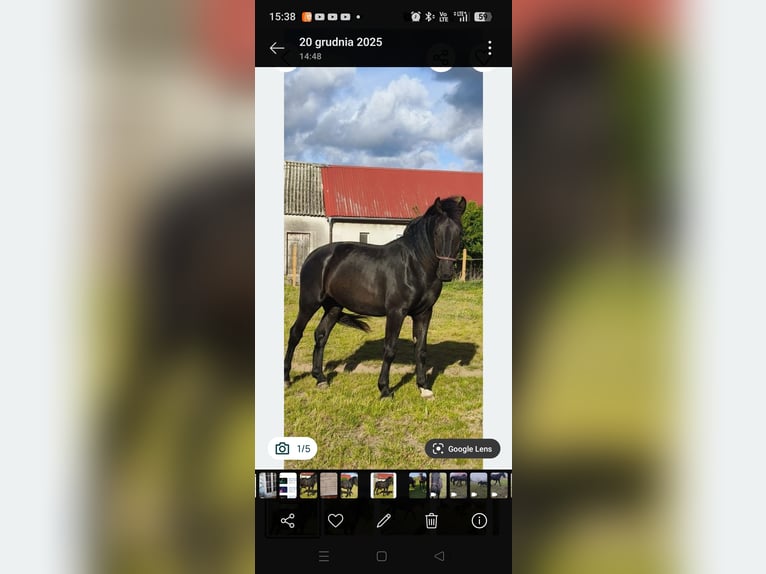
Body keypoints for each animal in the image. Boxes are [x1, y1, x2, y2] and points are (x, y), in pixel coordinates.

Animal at [284, 196, 467, 399]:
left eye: (460, 232)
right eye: (436, 232)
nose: (446, 273)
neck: (415, 266)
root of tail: (313, 256)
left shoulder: (424, 313)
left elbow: (421, 349)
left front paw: (424, 388)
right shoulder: (396, 312)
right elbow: (390, 349)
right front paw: (385, 389)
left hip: (334, 307)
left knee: (321, 336)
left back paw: (320, 379)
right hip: (309, 302)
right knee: (295, 333)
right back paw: (286, 378)